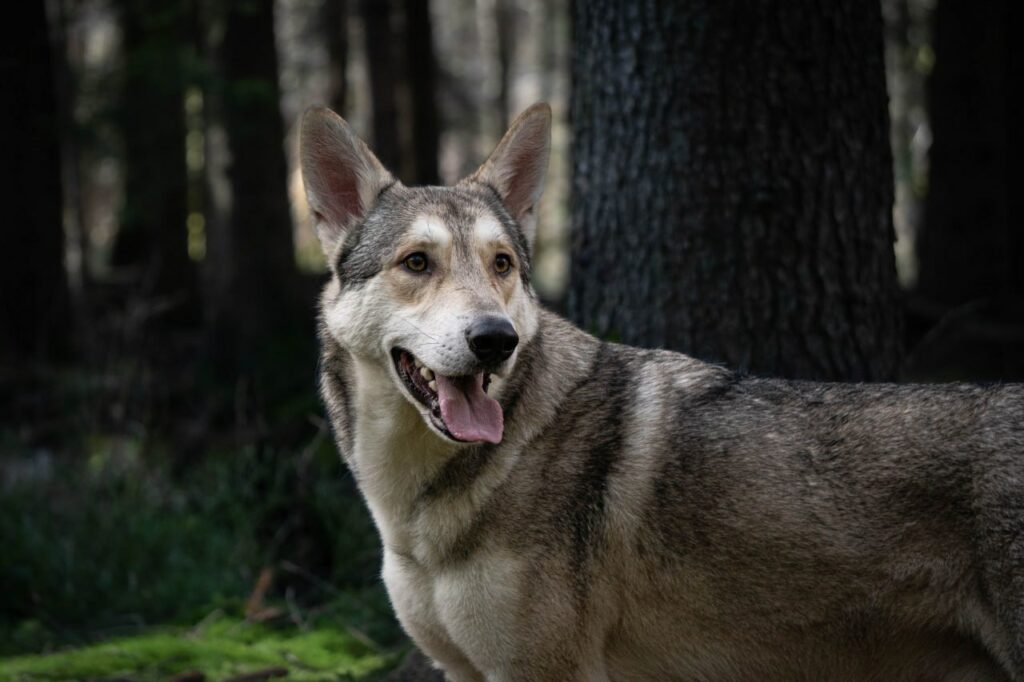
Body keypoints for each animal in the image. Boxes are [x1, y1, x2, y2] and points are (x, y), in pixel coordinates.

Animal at [299, 103, 1024, 675]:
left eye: (500, 264)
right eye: (417, 262)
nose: (495, 339)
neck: (417, 509)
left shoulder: (545, 671)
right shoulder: (465, 671)